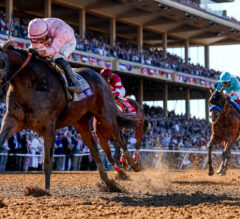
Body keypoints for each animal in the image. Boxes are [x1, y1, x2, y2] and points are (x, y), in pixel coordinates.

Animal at [0, 42, 139, 191]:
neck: (32, 83)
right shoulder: (12, 119)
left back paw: (133, 165)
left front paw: (46, 191)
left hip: (106, 116)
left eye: (2, 62)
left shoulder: (49, 127)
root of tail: (101, 78)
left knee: (119, 138)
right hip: (81, 123)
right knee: (95, 149)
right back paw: (108, 182)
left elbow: (47, 161)